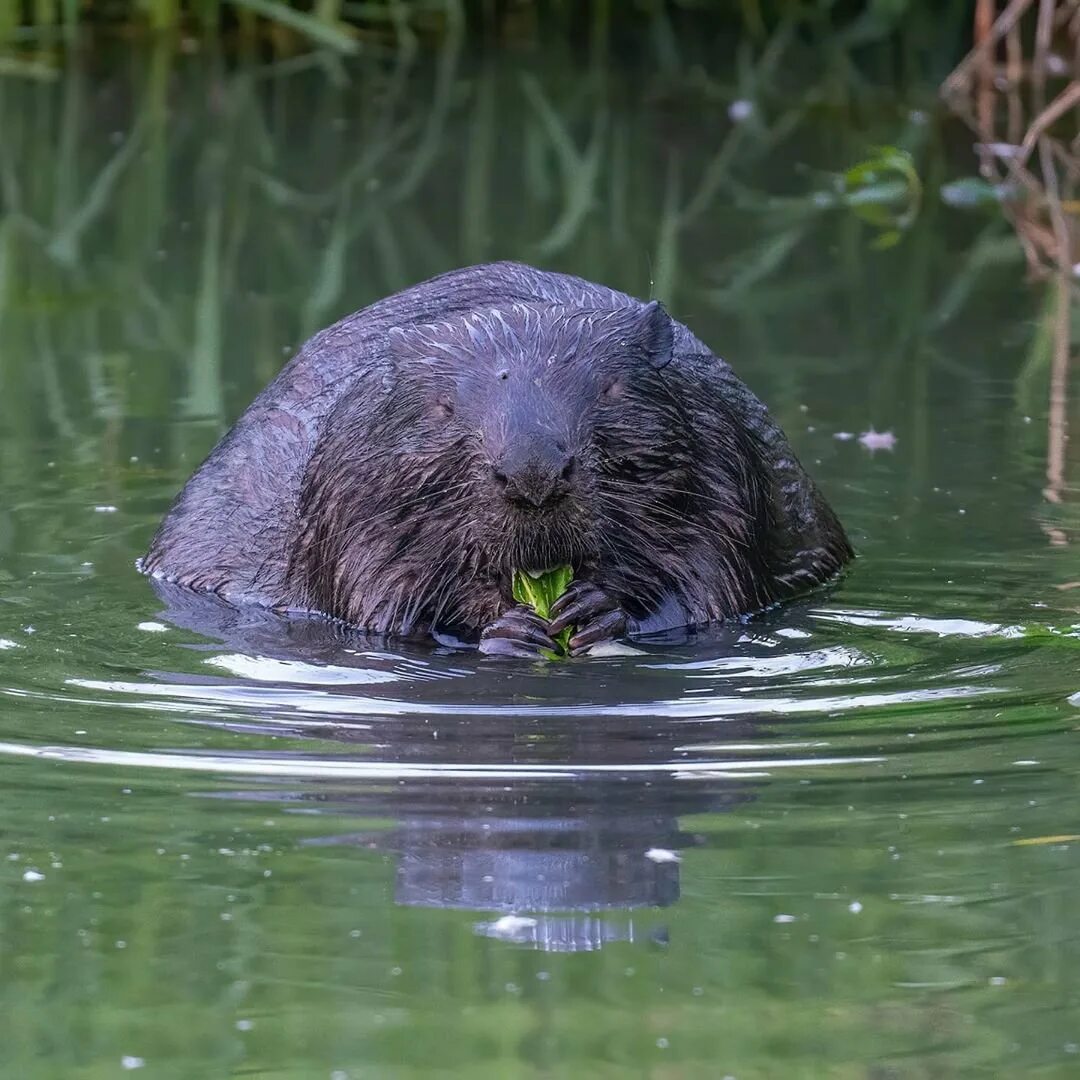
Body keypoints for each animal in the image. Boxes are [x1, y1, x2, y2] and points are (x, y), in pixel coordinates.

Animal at [141, 259, 851, 656]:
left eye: (610, 388)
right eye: (444, 406)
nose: (533, 475)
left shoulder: (721, 458)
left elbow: (711, 581)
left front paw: (595, 611)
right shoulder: (349, 485)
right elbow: (379, 601)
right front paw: (506, 628)